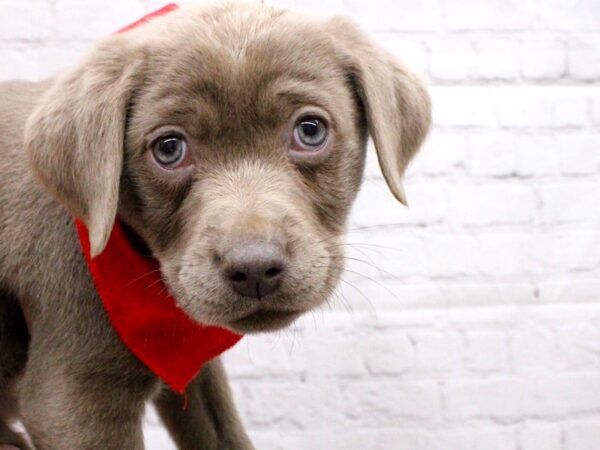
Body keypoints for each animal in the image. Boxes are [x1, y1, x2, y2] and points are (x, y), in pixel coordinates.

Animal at [0, 1, 432, 448]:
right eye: (168, 149)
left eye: (310, 130)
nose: (255, 268)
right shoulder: (74, 394)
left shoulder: (189, 361)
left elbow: (222, 431)